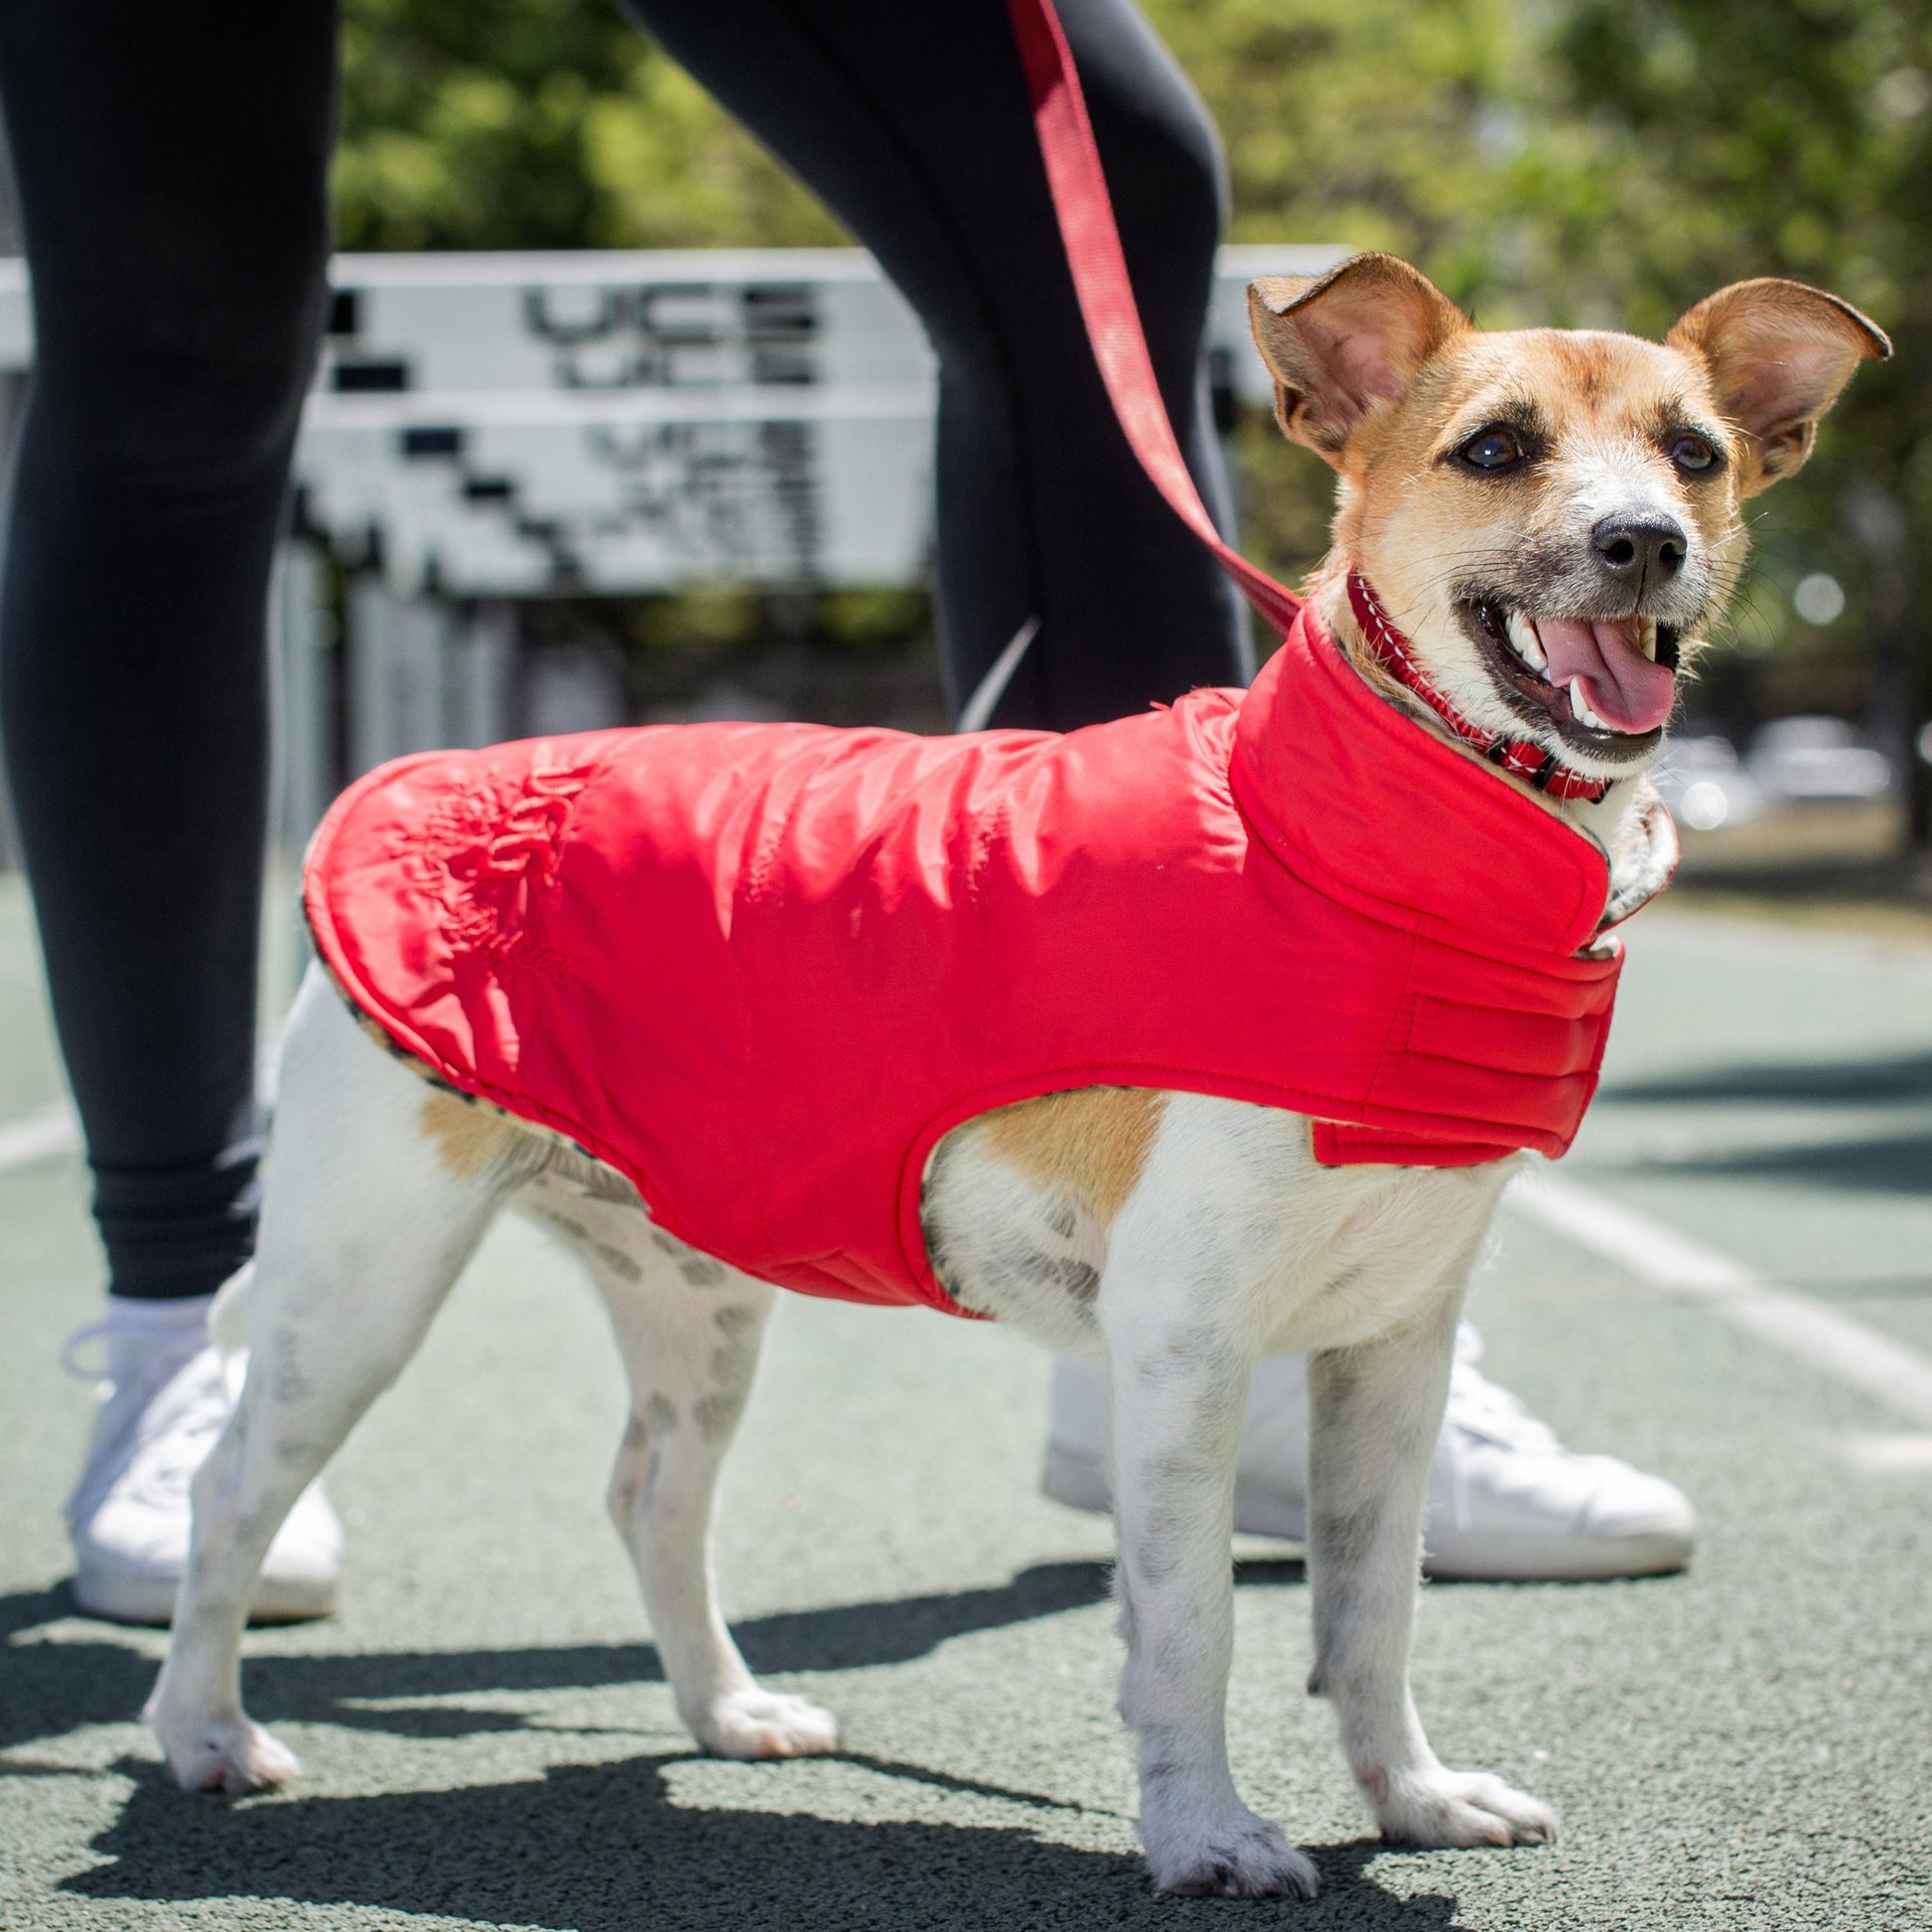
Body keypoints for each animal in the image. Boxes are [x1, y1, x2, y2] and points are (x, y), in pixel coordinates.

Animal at [150, 249, 1885, 1893]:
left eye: (1694, 452)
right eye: (1498, 447)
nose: (1642, 542)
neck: (1360, 841)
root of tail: (426, 780)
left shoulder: (1392, 1350)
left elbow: (1369, 1604)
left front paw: (1409, 1794)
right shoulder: (1182, 1347)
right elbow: (1191, 1625)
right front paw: (1204, 1834)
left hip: (693, 1299)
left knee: (650, 1493)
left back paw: (725, 1709)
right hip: (357, 1287)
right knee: (230, 1489)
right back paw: (203, 1730)